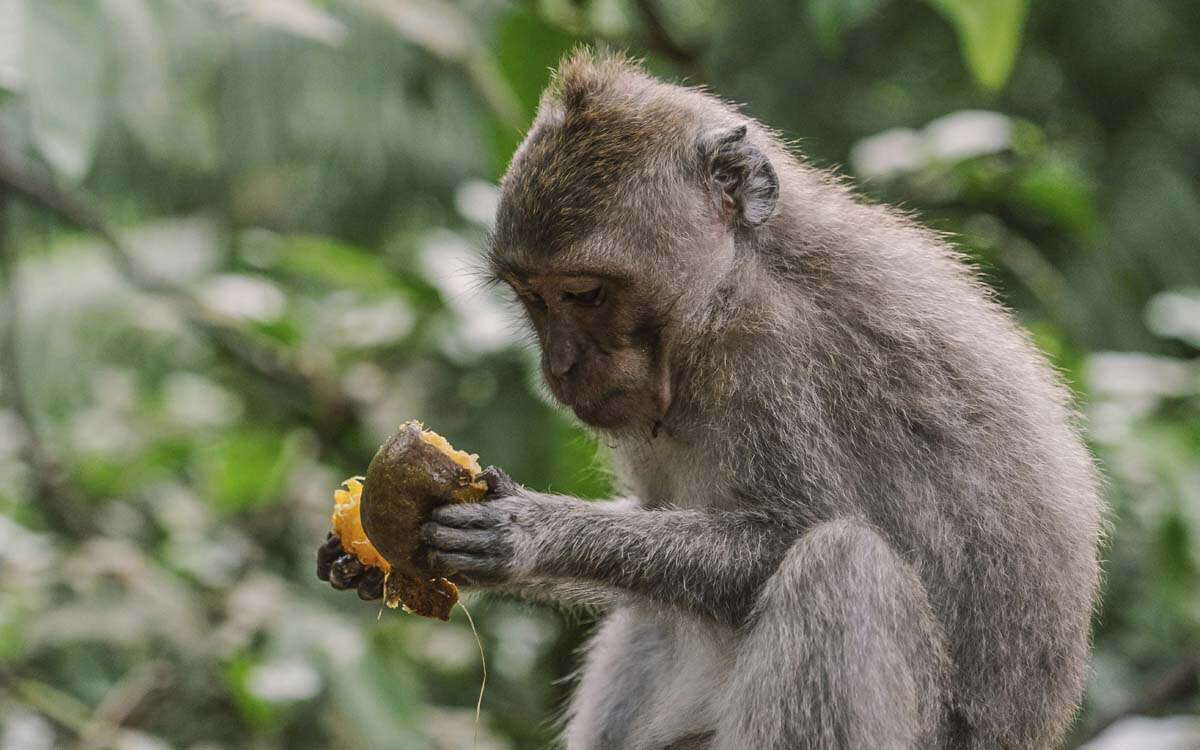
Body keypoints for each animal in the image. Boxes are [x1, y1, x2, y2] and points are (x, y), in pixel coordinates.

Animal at [321, 49, 1104, 744]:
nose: (562, 367)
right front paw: (360, 554)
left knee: (841, 565)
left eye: (585, 294)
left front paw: (537, 533)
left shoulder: (769, 355)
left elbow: (789, 534)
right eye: (532, 299)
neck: (728, 284)